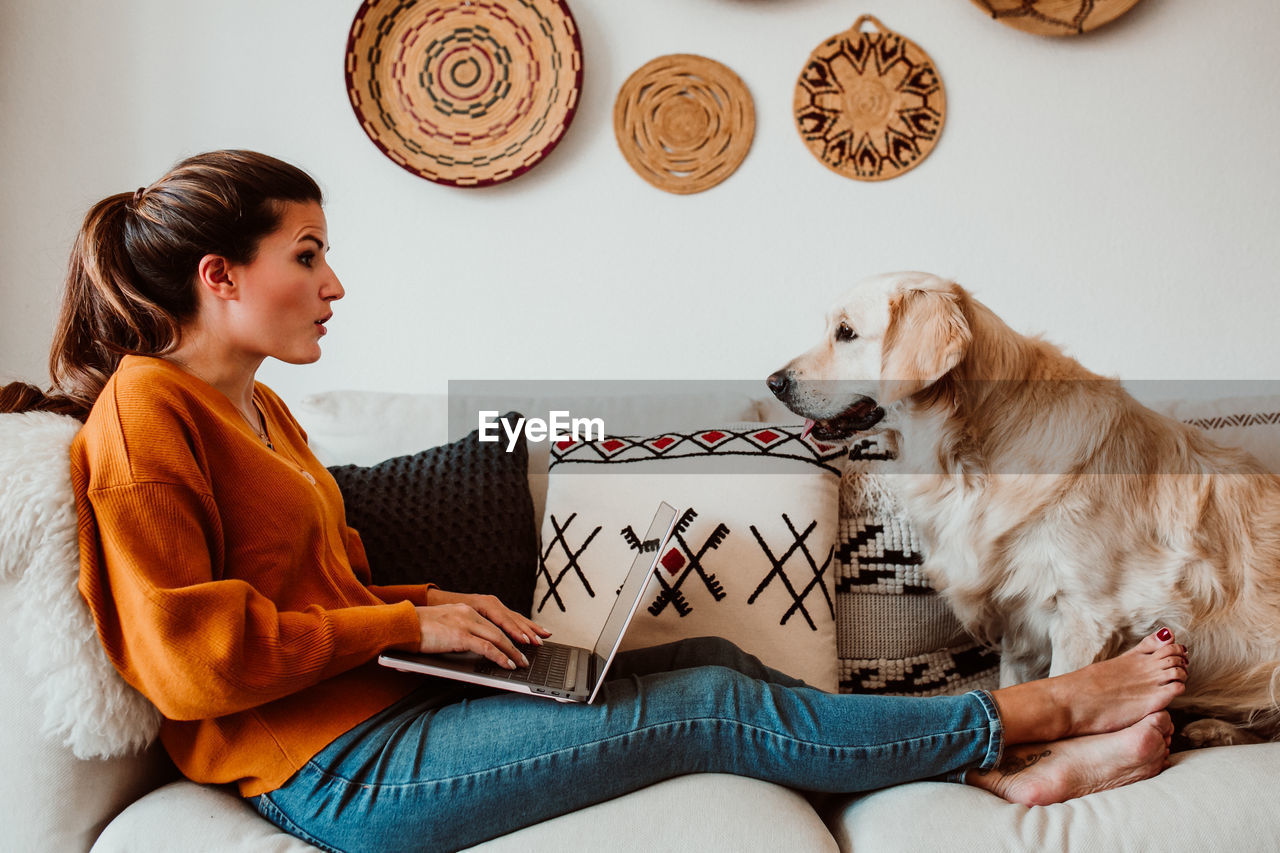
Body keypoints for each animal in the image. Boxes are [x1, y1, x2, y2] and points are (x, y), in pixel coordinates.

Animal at [762, 268, 1280, 742]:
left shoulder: (1084, 616)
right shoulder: (1019, 616)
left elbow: (1072, 694)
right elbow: (1020, 692)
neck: (968, 456)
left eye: (846, 332)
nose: (773, 382)